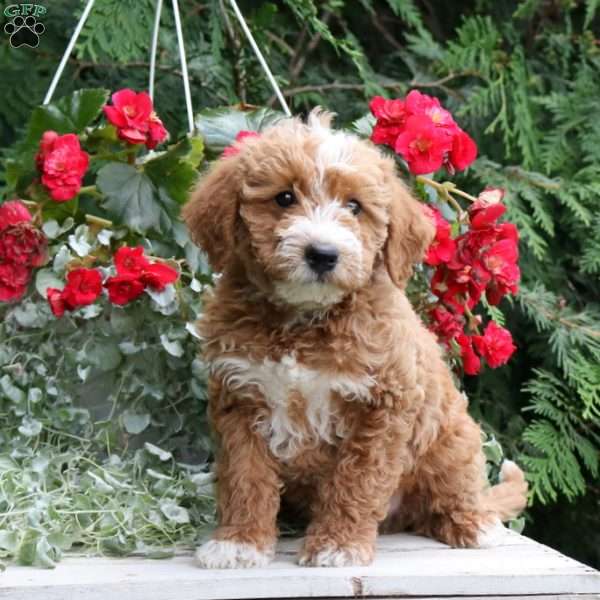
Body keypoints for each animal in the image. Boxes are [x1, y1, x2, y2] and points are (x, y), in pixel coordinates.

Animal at [183, 110, 524, 568]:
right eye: (284, 198)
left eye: (355, 207)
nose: (323, 254)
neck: (303, 321)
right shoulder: (239, 397)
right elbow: (244, 477)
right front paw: (239, 542)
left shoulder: (384, 405)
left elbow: (357, 480)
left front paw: (337, 544)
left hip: (453, 439)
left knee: (458, 489)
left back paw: (474, 524)